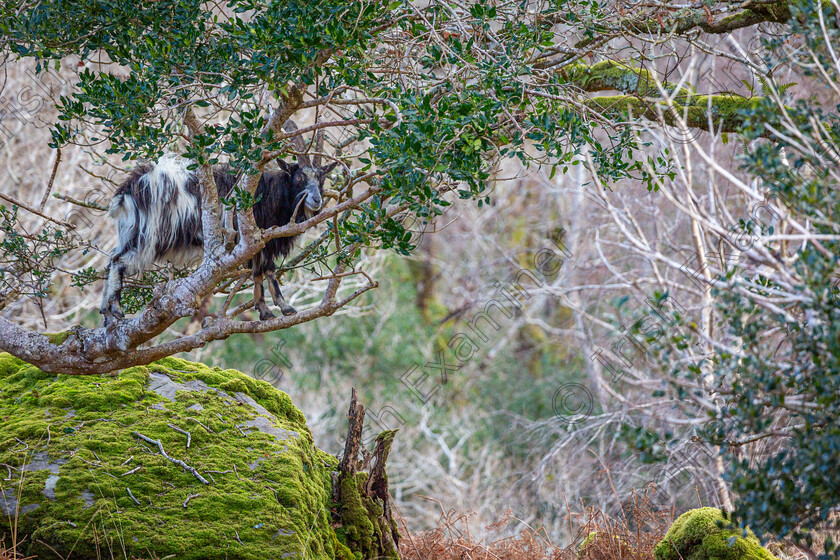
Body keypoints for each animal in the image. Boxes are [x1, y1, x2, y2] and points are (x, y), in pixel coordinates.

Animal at [99, 126, 334, 328]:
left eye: (322, 178)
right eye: (299, 176)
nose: (316, 200)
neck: (269, 192)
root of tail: (127, 190)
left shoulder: (255, 241)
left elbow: (259, 272)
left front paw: (267, 310)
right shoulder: (258, 238)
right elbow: (266, 270)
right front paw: (280, 308)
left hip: (129, 232)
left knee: (112, 259)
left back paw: (106, 312)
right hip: (149, 235)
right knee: (120, 261)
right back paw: (116, 309)